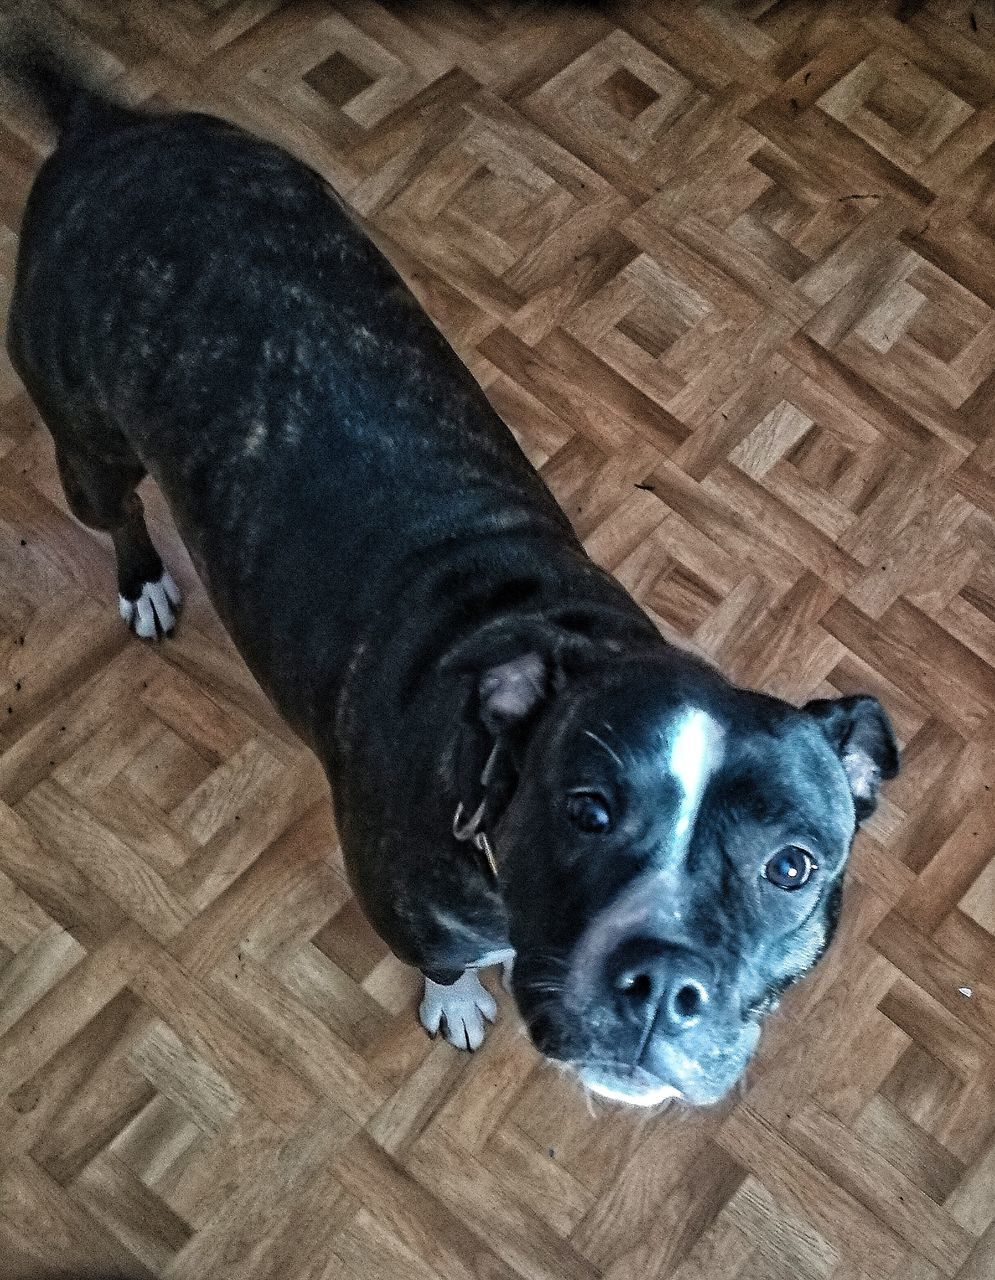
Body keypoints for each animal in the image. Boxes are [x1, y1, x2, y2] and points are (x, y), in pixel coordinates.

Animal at [1, 37, 901, 1100]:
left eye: (792, 867)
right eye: (586, 811)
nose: (664, 979)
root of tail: (110, 129)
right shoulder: (409, 912)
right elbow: (440, 962)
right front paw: (457, 1001)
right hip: (88, 447)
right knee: (117, 506)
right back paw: (141, 579)